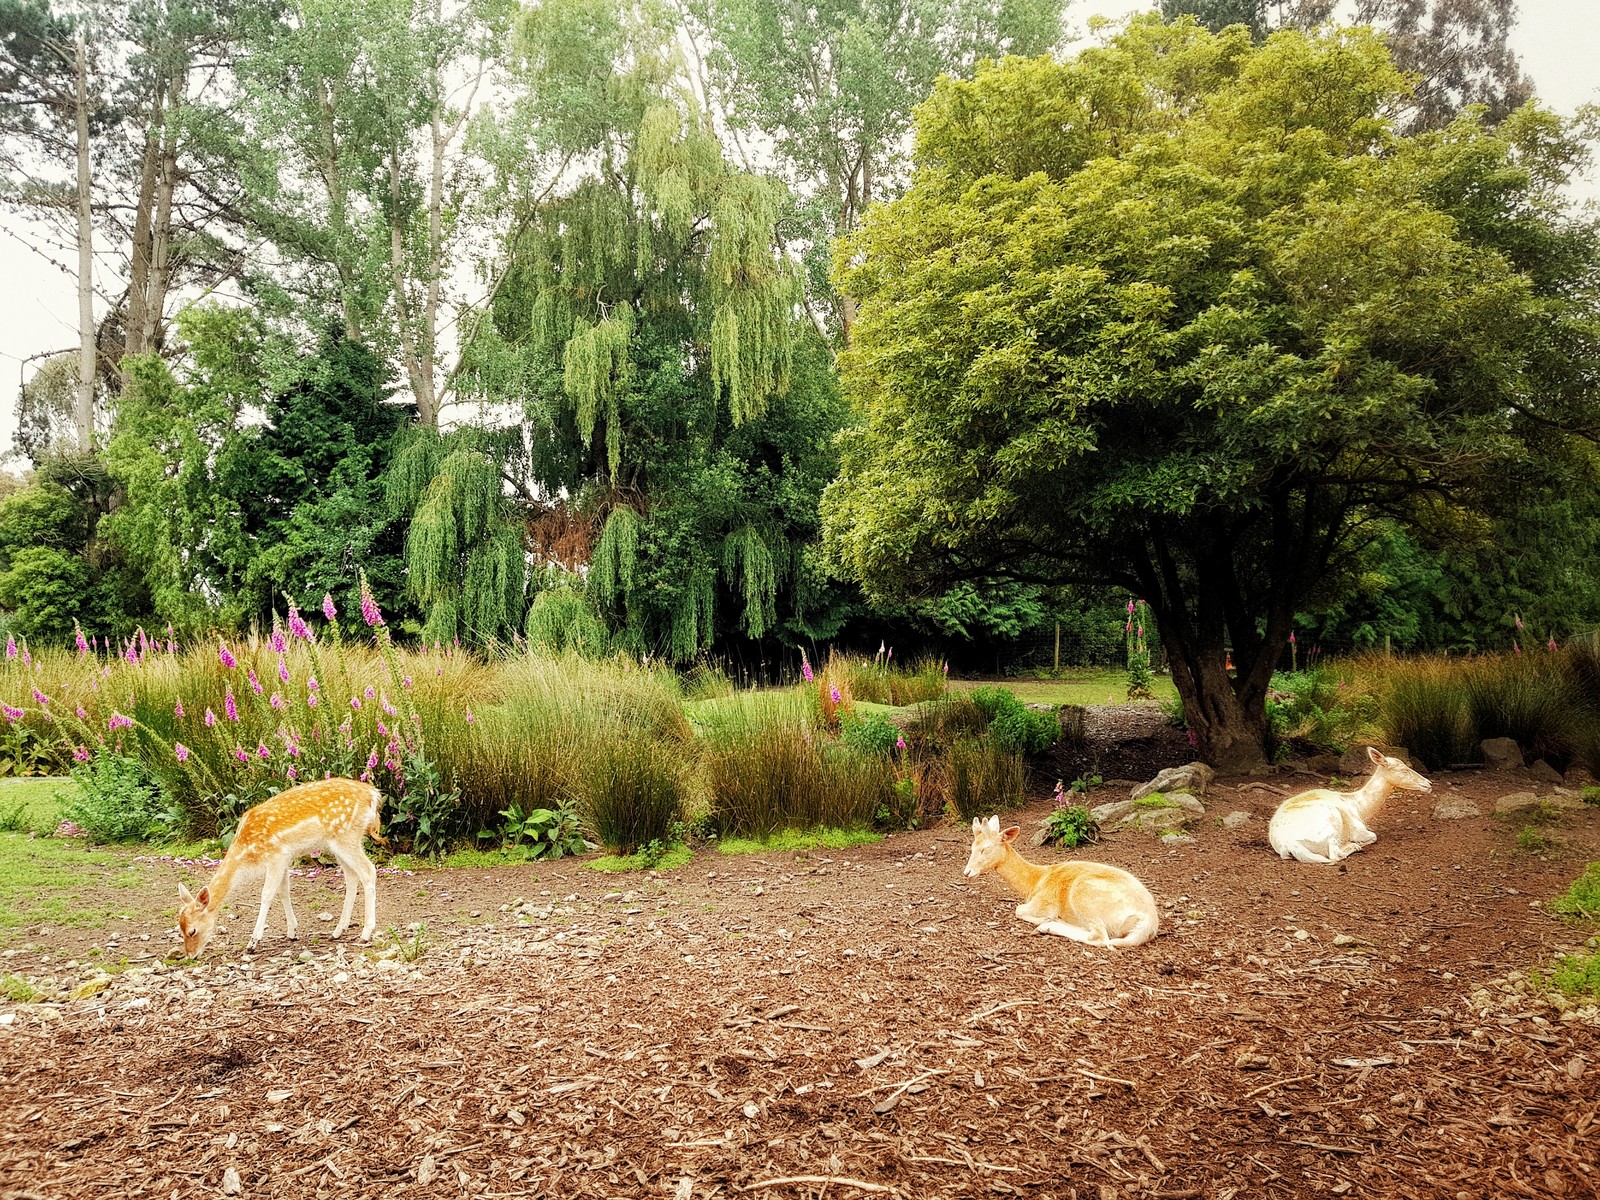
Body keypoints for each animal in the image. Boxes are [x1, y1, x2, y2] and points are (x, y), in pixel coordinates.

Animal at [176, 780, 385, 960]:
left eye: (192, 931)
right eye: (180, 929)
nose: (190, 956)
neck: (247, 852)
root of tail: (373, 795)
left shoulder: (276, 856)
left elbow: (267, 894)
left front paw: (253, 942)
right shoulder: (284, 859)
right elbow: (284, 891)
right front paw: (292, 931)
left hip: (346, 836)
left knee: (368, 871)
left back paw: (366, 933)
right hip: (338, 843)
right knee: (351, 877)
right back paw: (337, 931)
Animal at [960, 819, 1164, 947]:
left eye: (986, 849)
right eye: (972, 847)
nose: (967, 872)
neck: (1035, 882)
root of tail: (1149, 921)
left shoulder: (1043, 902)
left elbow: (1018, 910)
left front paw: (1045, 919)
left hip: (1084, 894)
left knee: (1100, 937)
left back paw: (1047, 925)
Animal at [1267, 752, 1433, 864]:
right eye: (1404, 770)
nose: (1429, 784)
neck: (1358, 807)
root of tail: (1288, 842)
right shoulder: (1358, 829)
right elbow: (1374, 836)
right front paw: (1357, 843)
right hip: (1331, 820)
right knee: (1335, 855)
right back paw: (1353, 846)